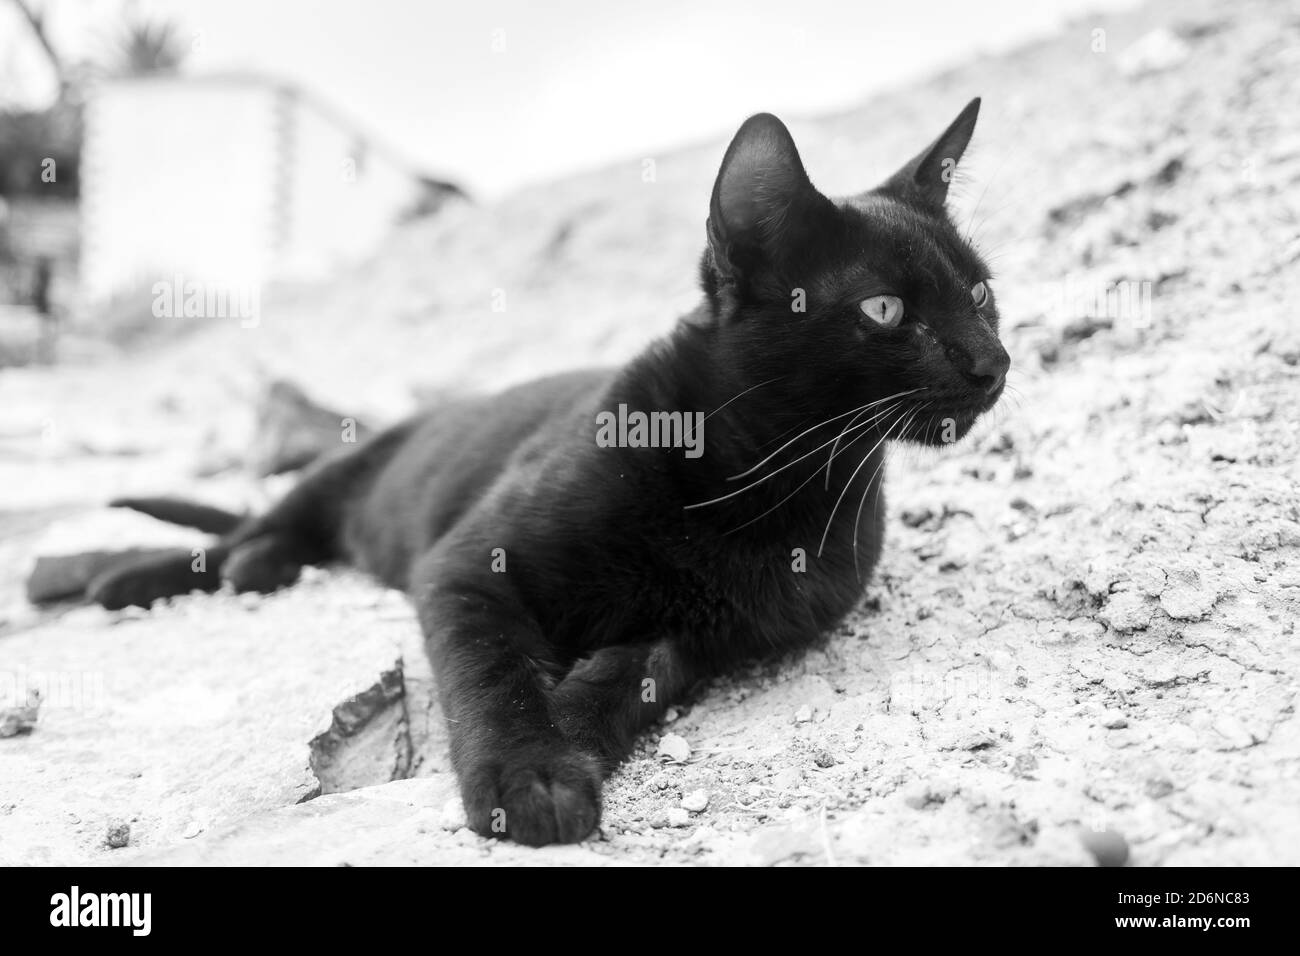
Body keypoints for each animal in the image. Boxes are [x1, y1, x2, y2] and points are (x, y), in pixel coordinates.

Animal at [86, 98, 1008, 842]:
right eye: (884, 309)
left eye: (982, 294)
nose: (993, 360)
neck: (762, 478)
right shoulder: (467, 566)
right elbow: (497, 675)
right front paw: (527, 774)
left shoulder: (700, 640)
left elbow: (629, 679)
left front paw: (568, 737)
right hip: (344, 469)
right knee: (258, 522)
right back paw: (162, 573)